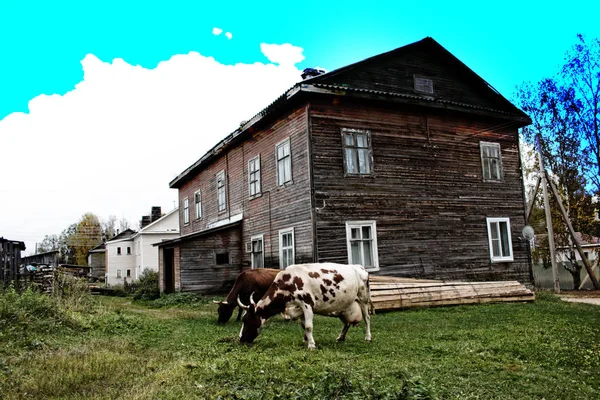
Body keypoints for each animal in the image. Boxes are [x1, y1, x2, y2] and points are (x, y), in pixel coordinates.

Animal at [236, 262, 370, 346]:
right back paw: (341, 337)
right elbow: (303, 324)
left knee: (367, 318)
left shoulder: (307, 304)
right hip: (345, 306)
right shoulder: (298, 308)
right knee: (346, 323)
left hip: (363, 298)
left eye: (246, 320)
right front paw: (306, 339)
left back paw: (368, 337)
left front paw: (311, 345)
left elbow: (308, 326)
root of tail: (358, 267)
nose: (241, 339)